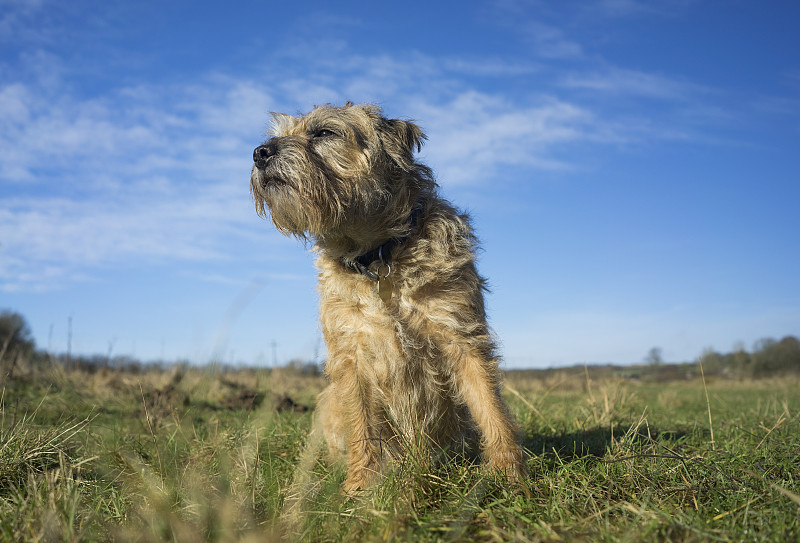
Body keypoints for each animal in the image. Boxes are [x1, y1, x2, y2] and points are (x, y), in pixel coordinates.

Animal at [250, 103, 524, 492]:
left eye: (323, 133)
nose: (260, 153)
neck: (379, 255)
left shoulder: (461, 334)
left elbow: (488, 404)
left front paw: (508, 472)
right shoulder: (351, 356)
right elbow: (363, 425)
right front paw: (361, 485)